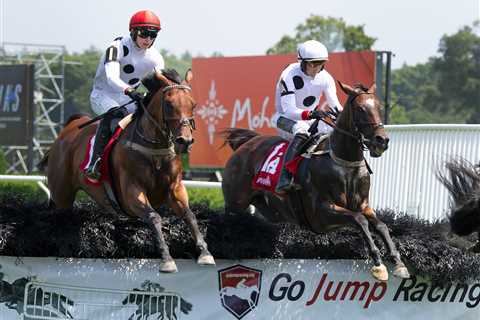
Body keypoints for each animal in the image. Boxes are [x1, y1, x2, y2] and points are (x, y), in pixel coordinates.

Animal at [38, 69, 215, 272]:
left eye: (193, 104)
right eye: (169, 104)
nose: (184, 141)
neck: (154, 148)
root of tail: (69, 128)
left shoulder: (175, 188)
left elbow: (189, 215)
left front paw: (205, 253)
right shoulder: (131, 191)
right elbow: (154, 217)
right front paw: (167, 259)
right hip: (62, 196)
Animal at [223, 82, 410, 280]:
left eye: (379, 107)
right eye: (360, 108)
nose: (381, 141)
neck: (344, 163)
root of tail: (246, 144)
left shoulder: (363, 204)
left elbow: (381, 226)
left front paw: (398, 263)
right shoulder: (320, 213)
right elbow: (359, 220)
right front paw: (378, 264)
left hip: (270, 210)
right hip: (235, 204)